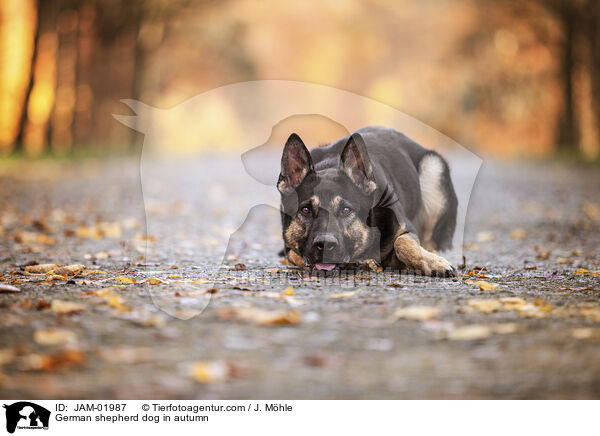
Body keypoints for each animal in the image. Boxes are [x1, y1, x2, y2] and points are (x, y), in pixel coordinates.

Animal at [278, 126, 458, 276]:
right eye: (305, 210)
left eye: (346, 210)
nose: (325, 244)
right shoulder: (290, 249)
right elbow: (295, 255)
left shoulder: (405, 227)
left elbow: (402, 243)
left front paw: (432, 263)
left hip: (433, 168)